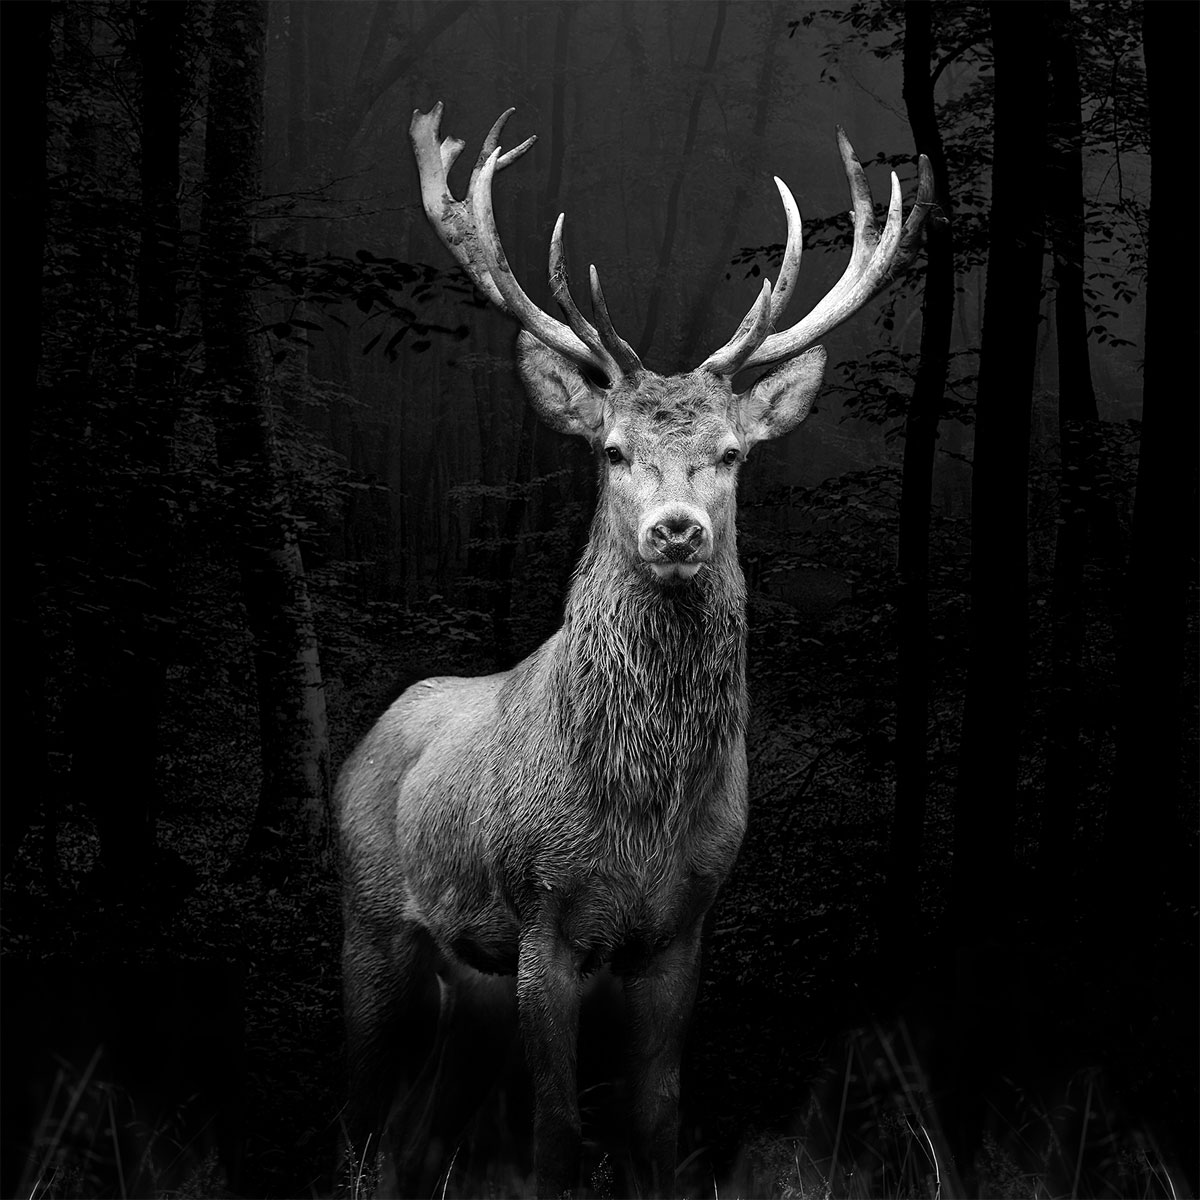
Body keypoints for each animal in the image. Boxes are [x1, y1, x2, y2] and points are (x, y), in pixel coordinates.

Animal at [337, 101, 932, 1199]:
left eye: (732, 454)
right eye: (612, 450)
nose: (677, 531)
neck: (640, 816)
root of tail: (365, 739)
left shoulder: (683, 928)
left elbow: (657, 1122)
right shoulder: (542, 916)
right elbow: (558, 1135)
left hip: (466, 975)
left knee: (417, 1129)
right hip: (371, 917)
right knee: (359, 1110)